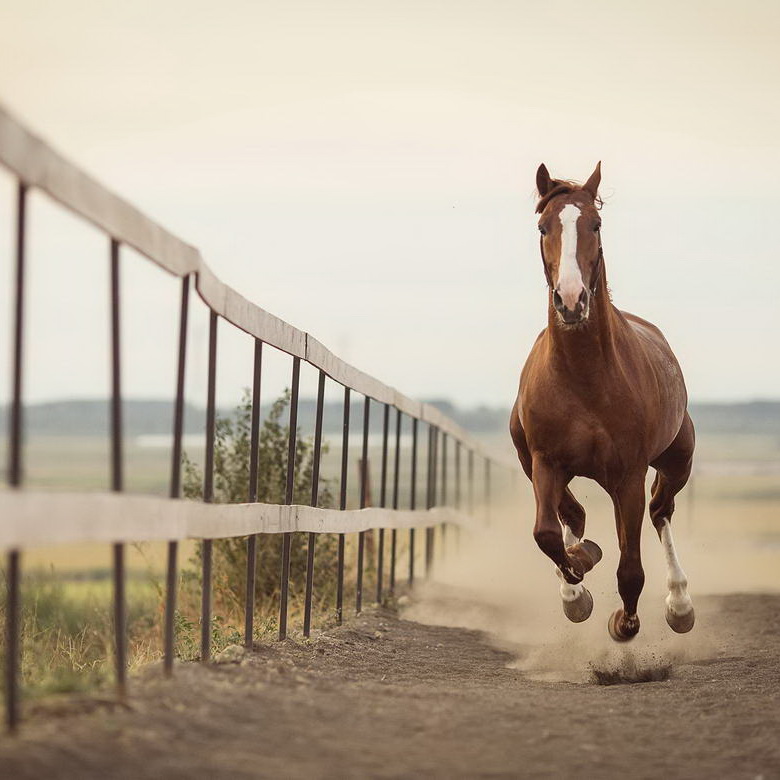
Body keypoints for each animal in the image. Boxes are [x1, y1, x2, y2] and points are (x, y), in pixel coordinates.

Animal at [508, 163, 696, 640]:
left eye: (595, 224)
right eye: (543, 227)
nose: (572, 300)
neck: (584, 378)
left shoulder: (628, 475)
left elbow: (630, 568)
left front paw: (625, 623)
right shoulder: (545, 462)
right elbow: (547, 533)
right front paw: (579, 577)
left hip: (676, 461)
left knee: (661, 511)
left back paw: (680, 605)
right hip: (529, 459)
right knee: (571, 515)